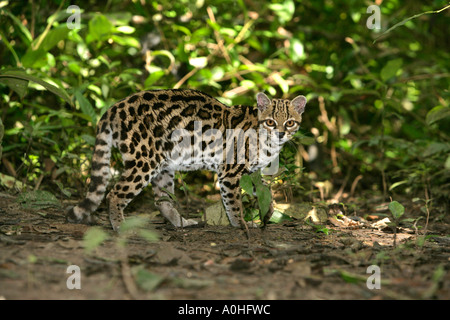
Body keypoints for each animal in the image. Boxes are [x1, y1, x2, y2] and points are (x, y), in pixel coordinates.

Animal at [66, 89, 306, 231]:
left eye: (290, 123)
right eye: (271, 122)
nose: (281, 134)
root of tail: (114, 108)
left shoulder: (251, 173)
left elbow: (267, 191)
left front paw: (269, 212)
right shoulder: (229, 172)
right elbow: (234, 202)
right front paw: (241, 224)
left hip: (163, 165)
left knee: (162, 201)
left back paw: (181, 223)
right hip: (144, 160)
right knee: (114, 193)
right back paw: (120, 226)